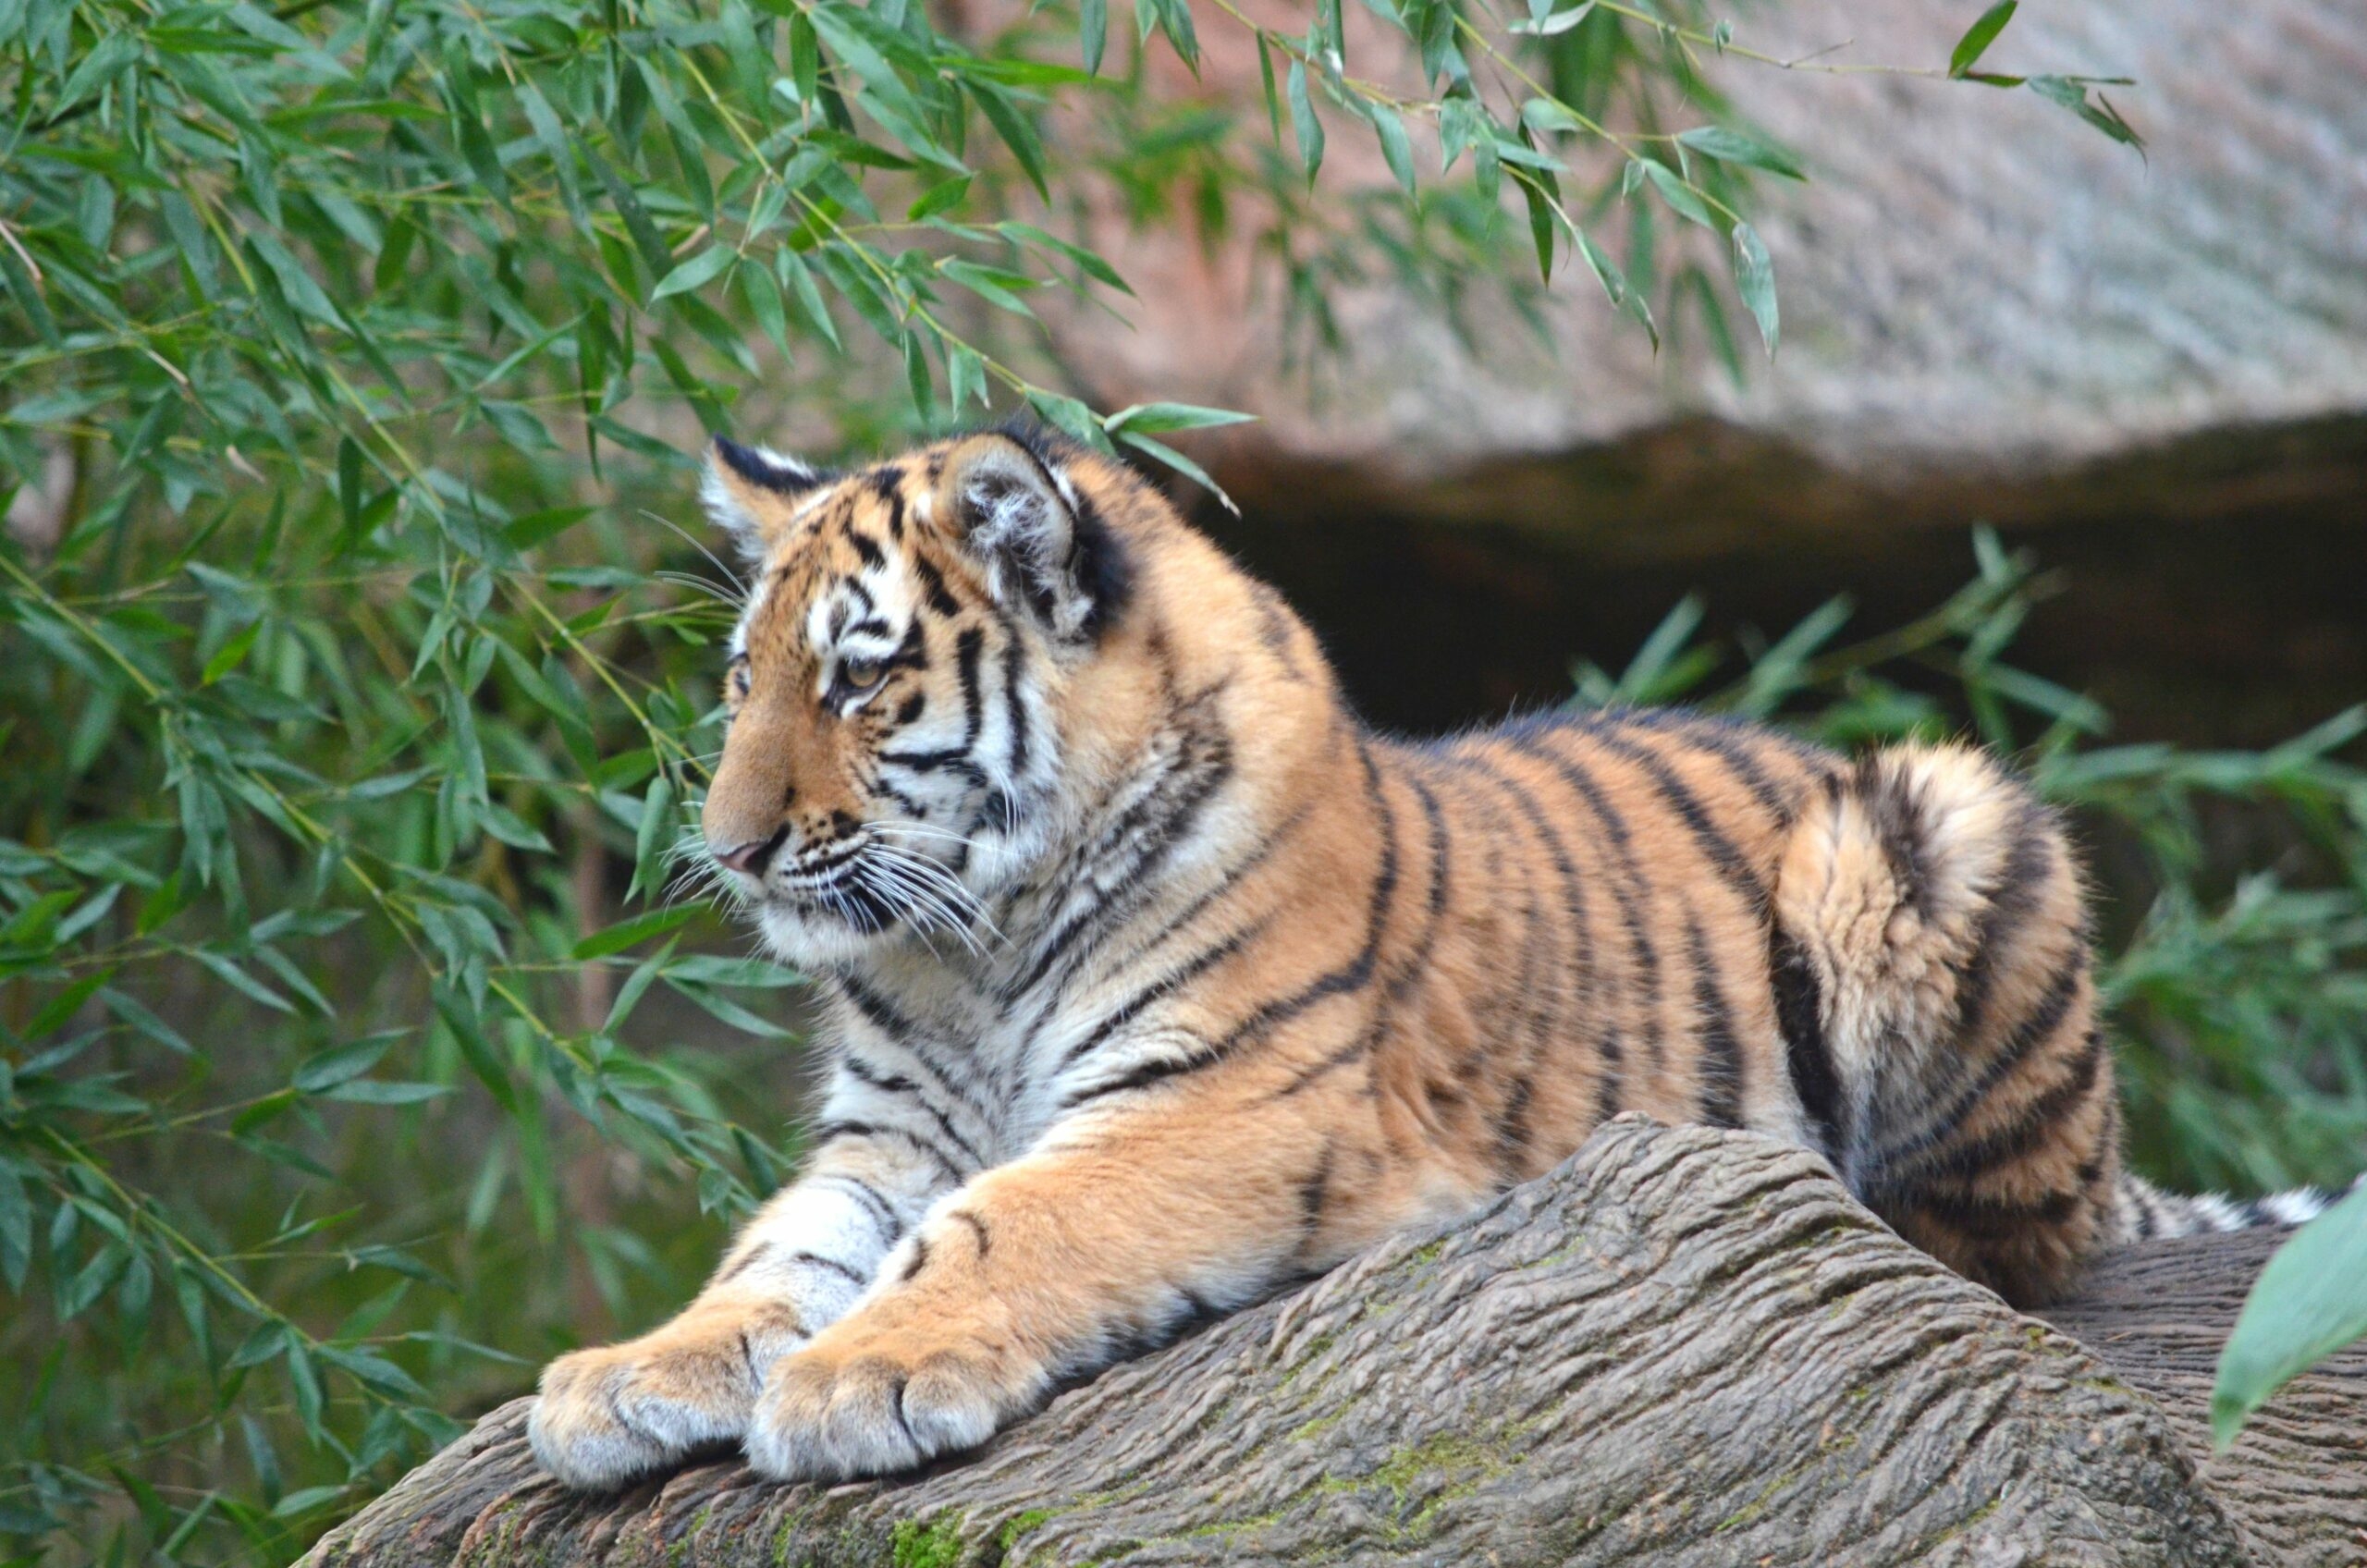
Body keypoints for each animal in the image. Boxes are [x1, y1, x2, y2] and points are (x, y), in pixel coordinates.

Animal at [527, 423, 2357, 1497]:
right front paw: (629, 1376)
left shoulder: (1224, 1099)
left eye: (858, 680)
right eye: (742, 682)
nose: (726, 847)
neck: (966, 947)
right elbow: (782, 1250)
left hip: (1933, 815)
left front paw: (866, 1377)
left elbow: (1011, 1223)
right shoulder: (889, 1136)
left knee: (2016, 1239)